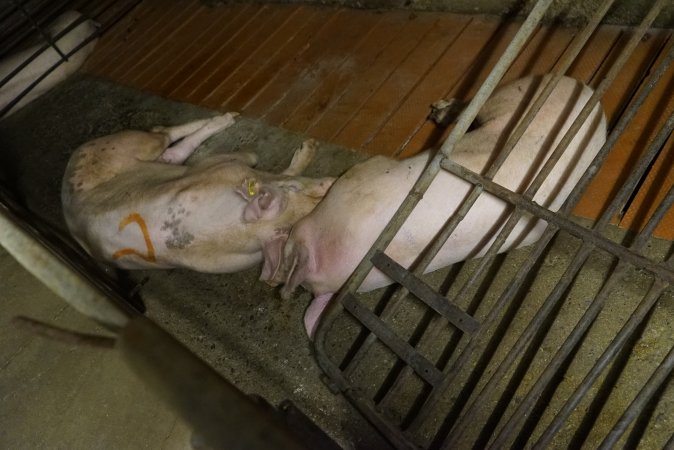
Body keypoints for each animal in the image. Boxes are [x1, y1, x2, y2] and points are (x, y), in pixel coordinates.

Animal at [260, 75, 608, 336]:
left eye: (289, 250)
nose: (274, 280)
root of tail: (591, 95)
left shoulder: (367, 173)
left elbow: (334, 179)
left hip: (517, 92)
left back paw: (438, 111)